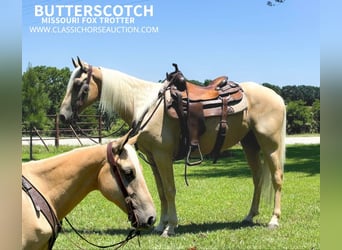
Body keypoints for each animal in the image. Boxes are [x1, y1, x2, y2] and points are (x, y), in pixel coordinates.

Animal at [59, 57, 286, 237]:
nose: (62, 115)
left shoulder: (163, 156)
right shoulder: (152, 159)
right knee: (258, 179)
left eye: (79, 84)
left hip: (270, 144)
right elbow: (160, 191)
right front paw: (161, 225)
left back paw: (274, 220)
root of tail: (277, 96)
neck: (145, 106)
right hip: (250, 144)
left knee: (276, 178)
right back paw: (249, 216)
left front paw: (171, 228)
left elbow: (169, 190)